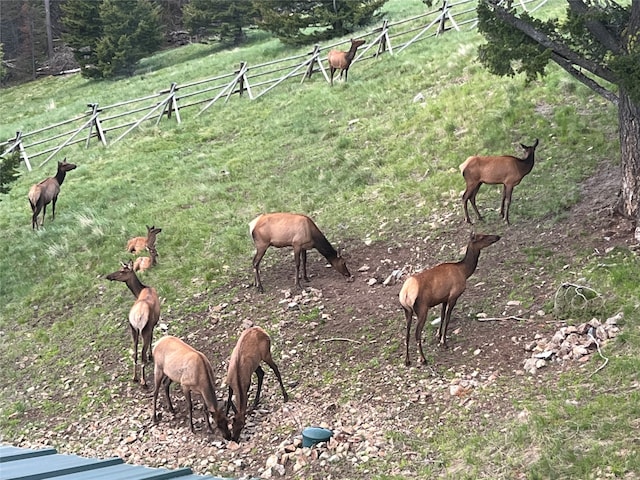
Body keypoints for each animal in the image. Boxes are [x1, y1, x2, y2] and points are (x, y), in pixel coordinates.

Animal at [105, 258, 160, 386]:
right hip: (144, 329)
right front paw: (151, 356)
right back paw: (143, 381)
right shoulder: (152, 325)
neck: (140, 290)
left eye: (122, 271)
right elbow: (151, 340)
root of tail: (137, 316)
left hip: (133, 329)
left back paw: (134, 377)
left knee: (135, 353)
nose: (108, 276)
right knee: (141, 354)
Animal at [400, 232, 500, 364]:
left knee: (406, 333)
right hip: (422, 308)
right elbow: (447, 318)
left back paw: (407, 360)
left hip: (407, 310)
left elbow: (442, 316)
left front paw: (438, 335)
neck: (464, 272)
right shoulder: (453, 295)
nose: (497, 236)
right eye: (482, 237)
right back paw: (423, 358)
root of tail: (405, 292)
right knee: (417, 333)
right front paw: (444, 341)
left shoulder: (443, 298)